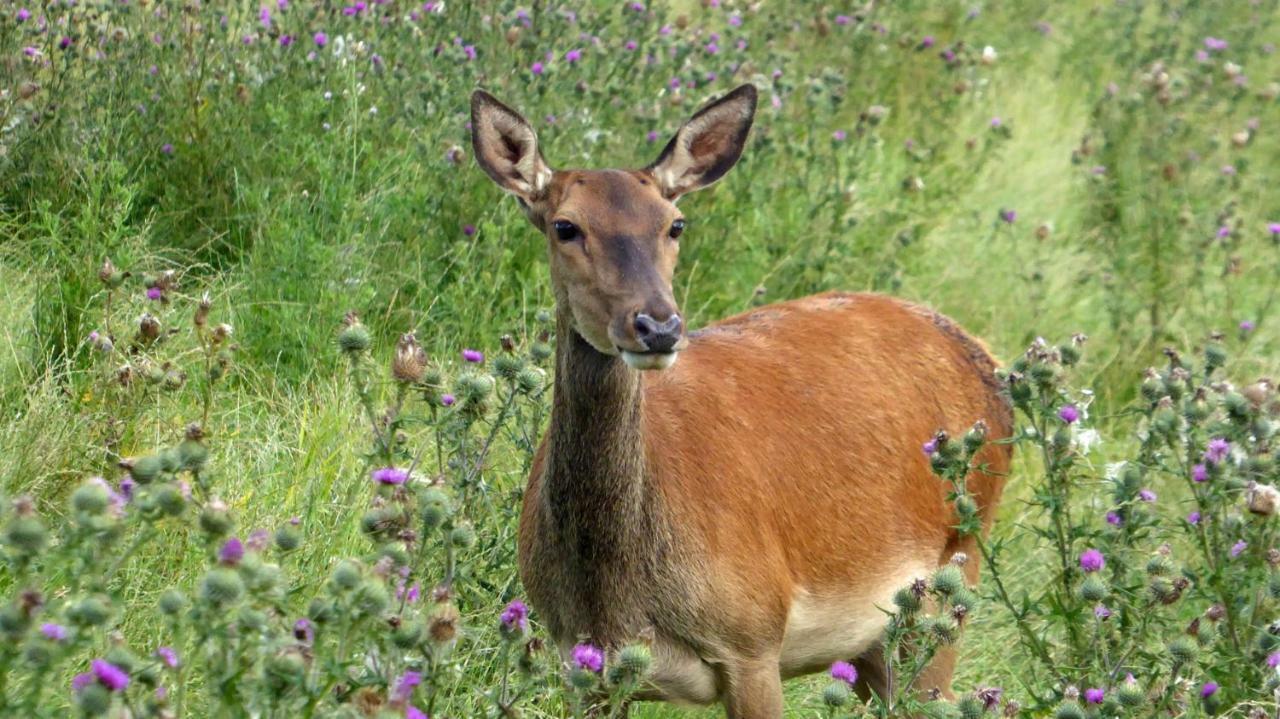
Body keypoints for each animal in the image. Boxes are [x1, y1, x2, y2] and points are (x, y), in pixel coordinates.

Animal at [468, 85, 1008, 716]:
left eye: (674, 224)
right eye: (564, 225)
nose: (657, 325)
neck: (616, 596)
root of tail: (987, 358)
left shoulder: (753, 637)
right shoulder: (581, 665)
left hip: (957, 569)